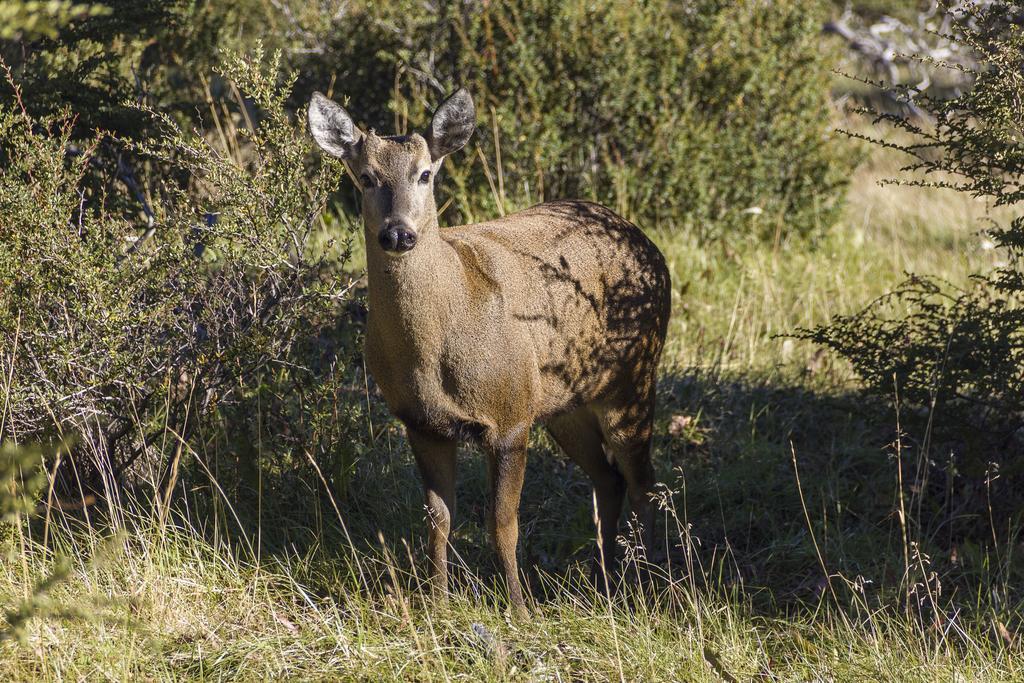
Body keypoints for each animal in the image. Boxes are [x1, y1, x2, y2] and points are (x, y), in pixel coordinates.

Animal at [307, 88, 667, 618]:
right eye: (366, 176)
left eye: (425, 173)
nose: (398, 234)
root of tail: (652, 249)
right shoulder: (422, 422)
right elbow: (437, 519)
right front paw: (437, 602)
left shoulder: (511, 415)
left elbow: (503, 524)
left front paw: (519, 608)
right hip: (563, 404)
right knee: (610, 478)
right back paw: (605, 577)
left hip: (633, 378)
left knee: (644, 481)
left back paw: (647, 583)